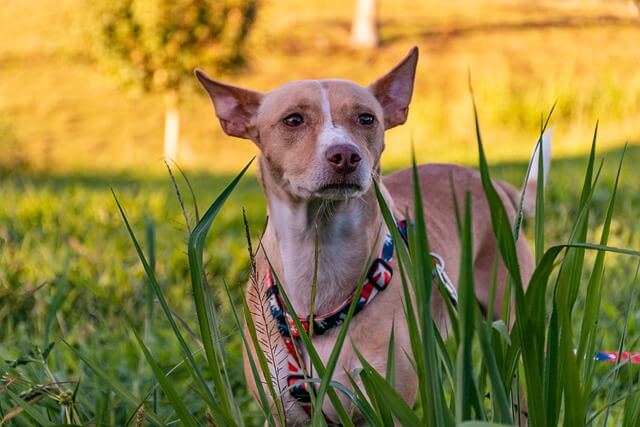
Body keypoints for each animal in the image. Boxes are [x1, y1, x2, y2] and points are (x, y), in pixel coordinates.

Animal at [195, 46, 552, 424]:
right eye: (293, 120)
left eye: (366, 118)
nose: (344, 155)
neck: (320, 254)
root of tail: (491, 182)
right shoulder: (282, 412)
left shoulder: (388, 404)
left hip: (515, 313)